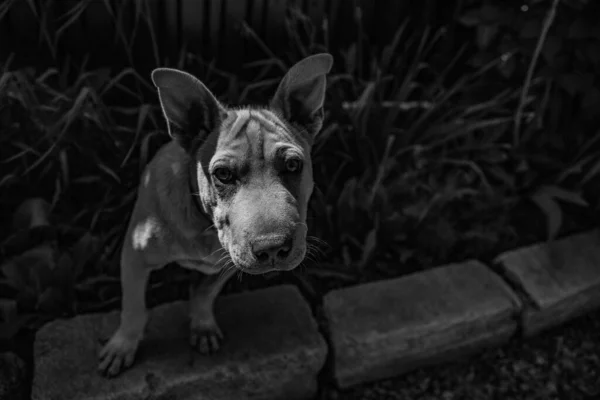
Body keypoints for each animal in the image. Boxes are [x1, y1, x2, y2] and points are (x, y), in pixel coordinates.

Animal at [97, 54, 332, 378]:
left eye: (294, 165)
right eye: (222, 174)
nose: (273, 248)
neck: (204, 225)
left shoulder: (226, 264)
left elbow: (204, 294)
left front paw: (202, 325)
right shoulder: (134, 255)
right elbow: (133, 308)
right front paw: (122, 346)